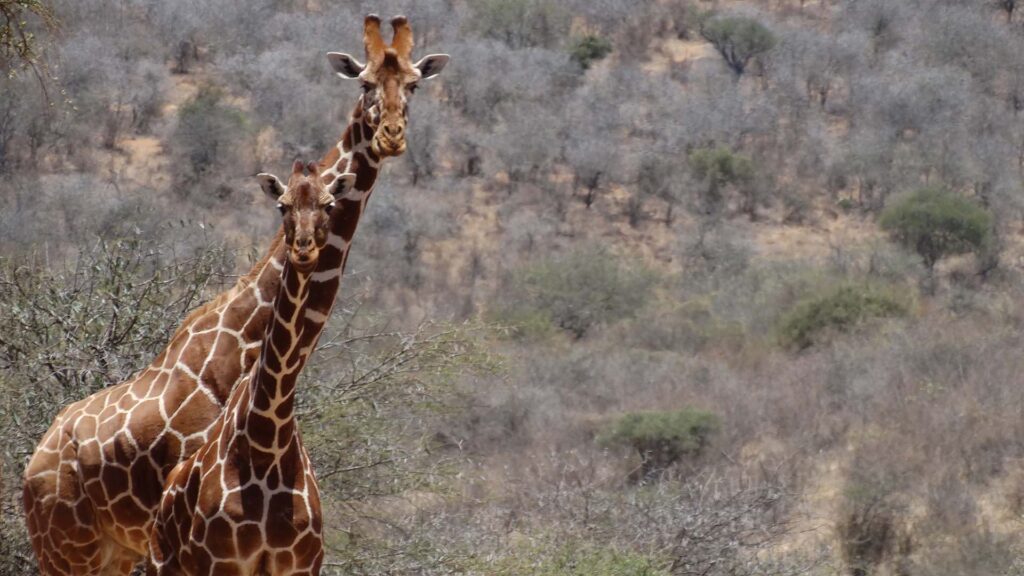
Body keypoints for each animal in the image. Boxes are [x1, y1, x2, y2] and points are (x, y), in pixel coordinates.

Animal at [146, 158, 356, 569]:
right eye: (282, 206)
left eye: (328, 205)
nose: (303, 249)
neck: (267, 443)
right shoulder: (222, 562)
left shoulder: (301, 565)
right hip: (163, 563)